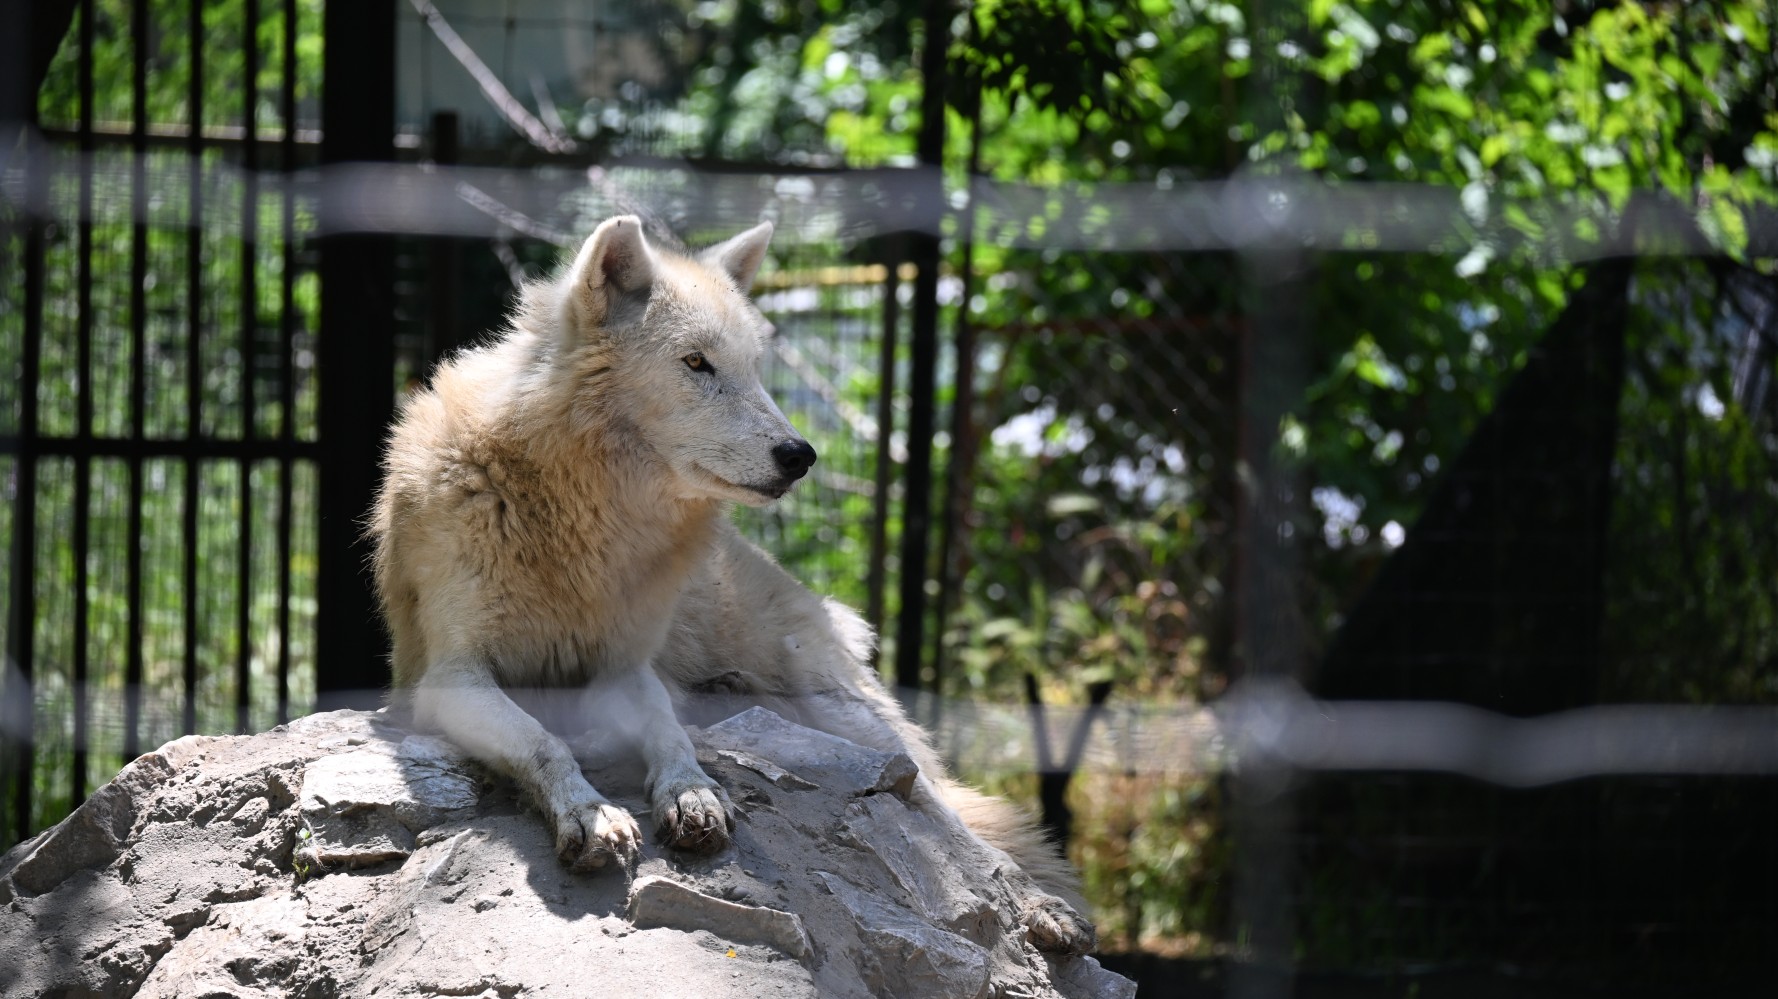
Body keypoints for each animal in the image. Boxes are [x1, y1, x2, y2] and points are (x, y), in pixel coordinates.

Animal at [370, 215, 1095, 954]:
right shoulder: (448, 679)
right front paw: (590, 813)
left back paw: (1042, 906)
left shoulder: (626, 671)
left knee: (949, 814)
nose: (801, 455)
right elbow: (542, 740)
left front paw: (692, 793)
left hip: (843, 711)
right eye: (696, 363)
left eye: (754, 368)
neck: (582, 517)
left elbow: (669, 734)